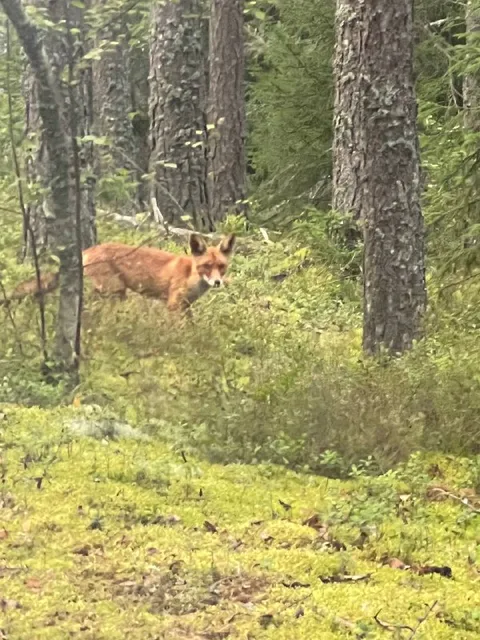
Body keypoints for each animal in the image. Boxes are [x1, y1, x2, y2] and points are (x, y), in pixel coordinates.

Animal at [1, 233, 236, 312]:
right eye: (206, 266)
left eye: (221, 267)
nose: (217, 282)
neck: (190, 274)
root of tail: (87, 250)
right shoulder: (173, 304)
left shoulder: (186, 307)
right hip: (113, 290)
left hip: (114, 293)